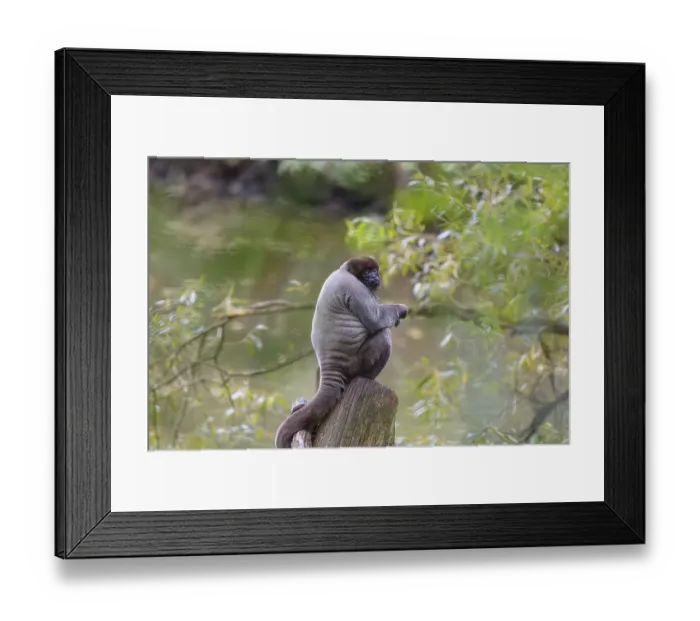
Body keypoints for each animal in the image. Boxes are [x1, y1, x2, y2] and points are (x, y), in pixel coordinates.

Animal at [274, 257, 408, 449]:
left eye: (375, 271)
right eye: (368, 272)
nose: (375, 276)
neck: (345, 270)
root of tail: (329, 365)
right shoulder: (356, 288)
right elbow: (375, 320)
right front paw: (400, 309)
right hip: (355, 363)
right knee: (384, 334)